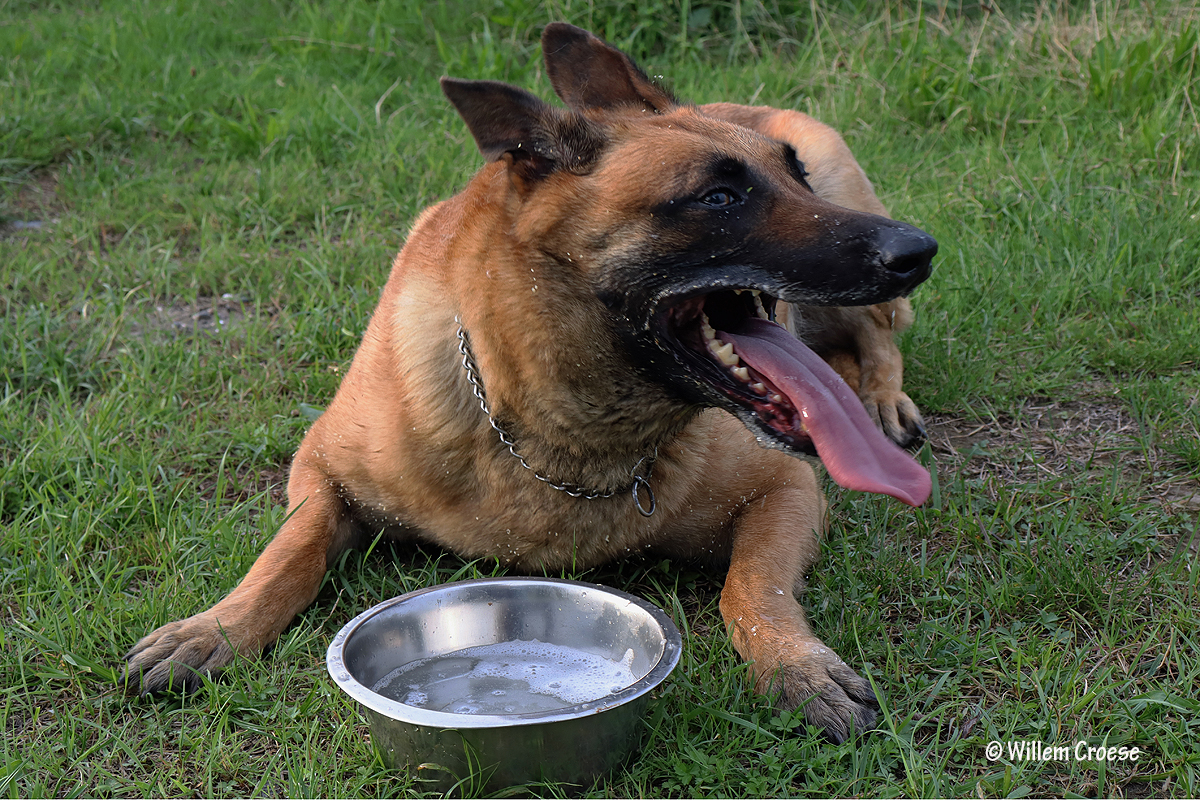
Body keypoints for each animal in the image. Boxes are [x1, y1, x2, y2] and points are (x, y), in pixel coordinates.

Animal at [125, 23, 936, 744]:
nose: (920, 249)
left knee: (879, 338)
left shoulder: (785, 488)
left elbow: (755, 586)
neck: (545, 428)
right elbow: (287, 553)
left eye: (792, 176)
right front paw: (213, 628)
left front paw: (798, 665)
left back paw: (883, 398)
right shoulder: (321, 467)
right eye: (717, 198)